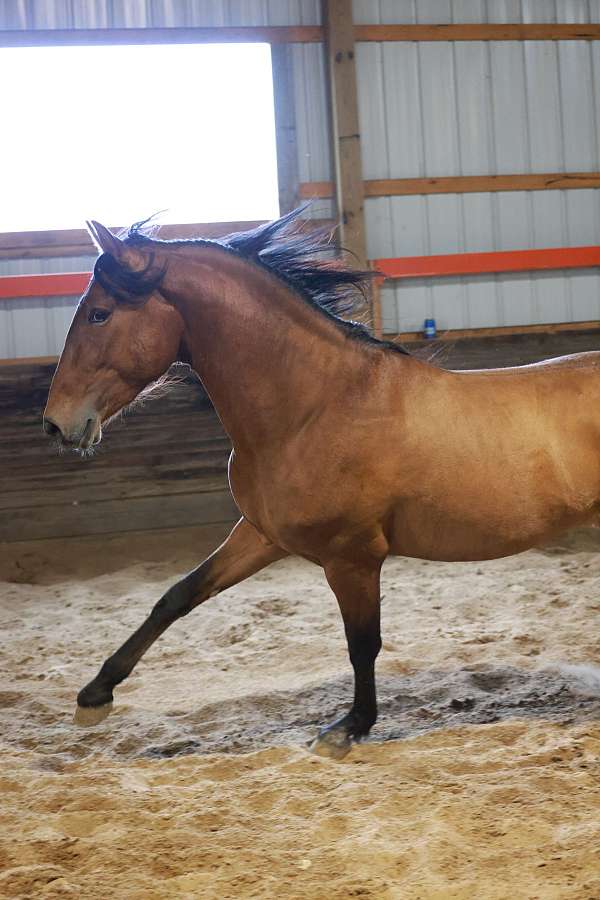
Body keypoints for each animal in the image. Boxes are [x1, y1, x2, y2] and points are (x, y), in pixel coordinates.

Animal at [43, 208, 600, 758]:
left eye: (99, 314)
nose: (56, 424)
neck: (315, 408)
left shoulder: (352, 556)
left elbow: (362, 643)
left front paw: (349, 727)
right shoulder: (261, 534)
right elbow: (179, 595)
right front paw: (94, 695)